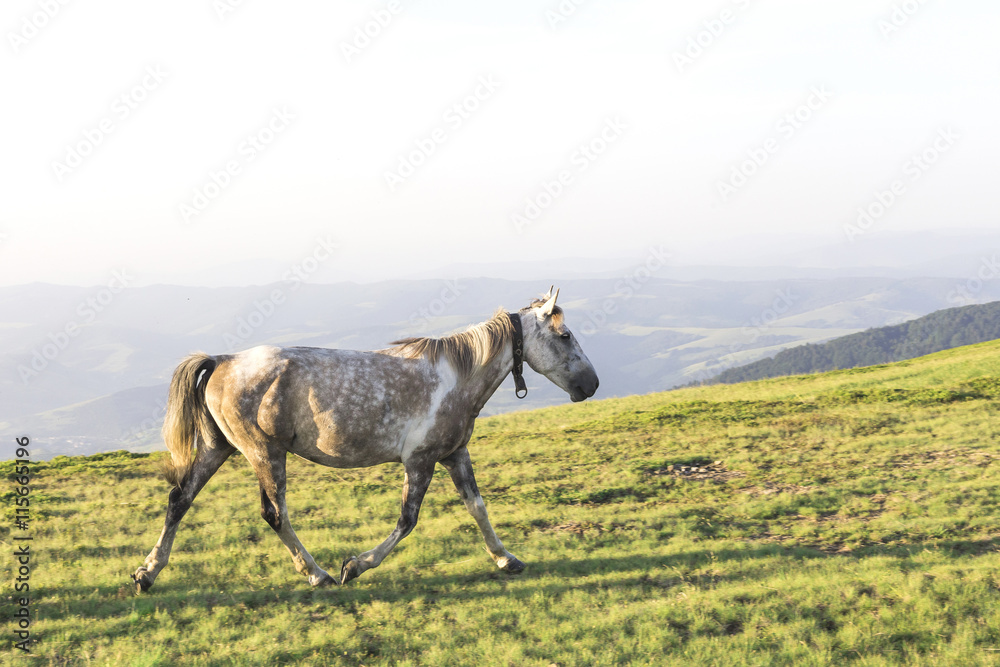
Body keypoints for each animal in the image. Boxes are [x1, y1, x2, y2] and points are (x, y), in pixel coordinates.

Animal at [132, 288, 599, 592]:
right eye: (564, 336)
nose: (591, 385)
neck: (456, 379)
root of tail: (221, 361)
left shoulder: (454, 454)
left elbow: (478, 507)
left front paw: (507, 559)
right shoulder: (420, 461)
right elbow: (407, 521)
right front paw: (353, 566)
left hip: (220, 448)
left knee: (179, 499)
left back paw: (147, 573)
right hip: (265, 453)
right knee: (274, 513)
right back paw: (318, 574)